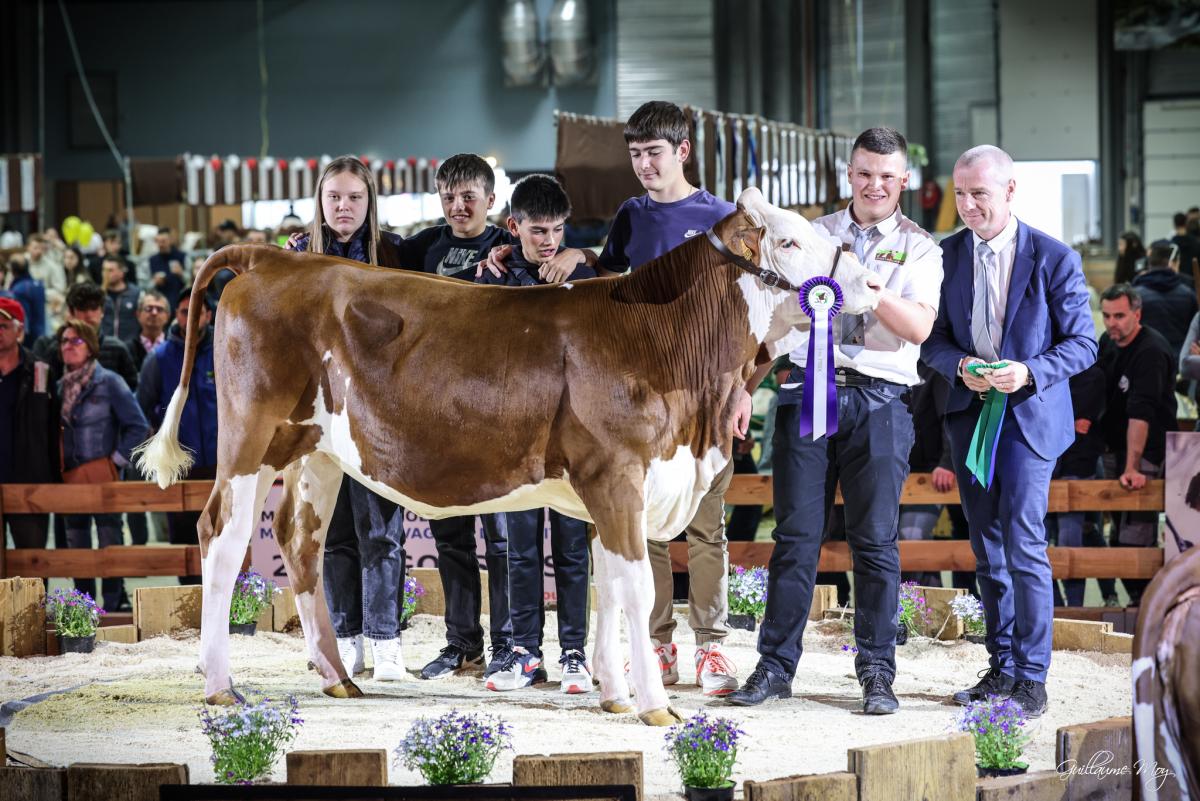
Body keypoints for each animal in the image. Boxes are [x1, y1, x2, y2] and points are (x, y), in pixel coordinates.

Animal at [136, 188, 878, 724]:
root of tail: (278, 259)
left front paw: (612, 693)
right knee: (222, 535)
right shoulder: (618, 474)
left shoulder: (606, 487)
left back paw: (337, 676)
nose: (870, 284)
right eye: (790, 238)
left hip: (313, 449)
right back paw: (220, 685)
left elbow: (607, 590)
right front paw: (654, 706)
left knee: (299, 539)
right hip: (251, 438)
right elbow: (638, 590)